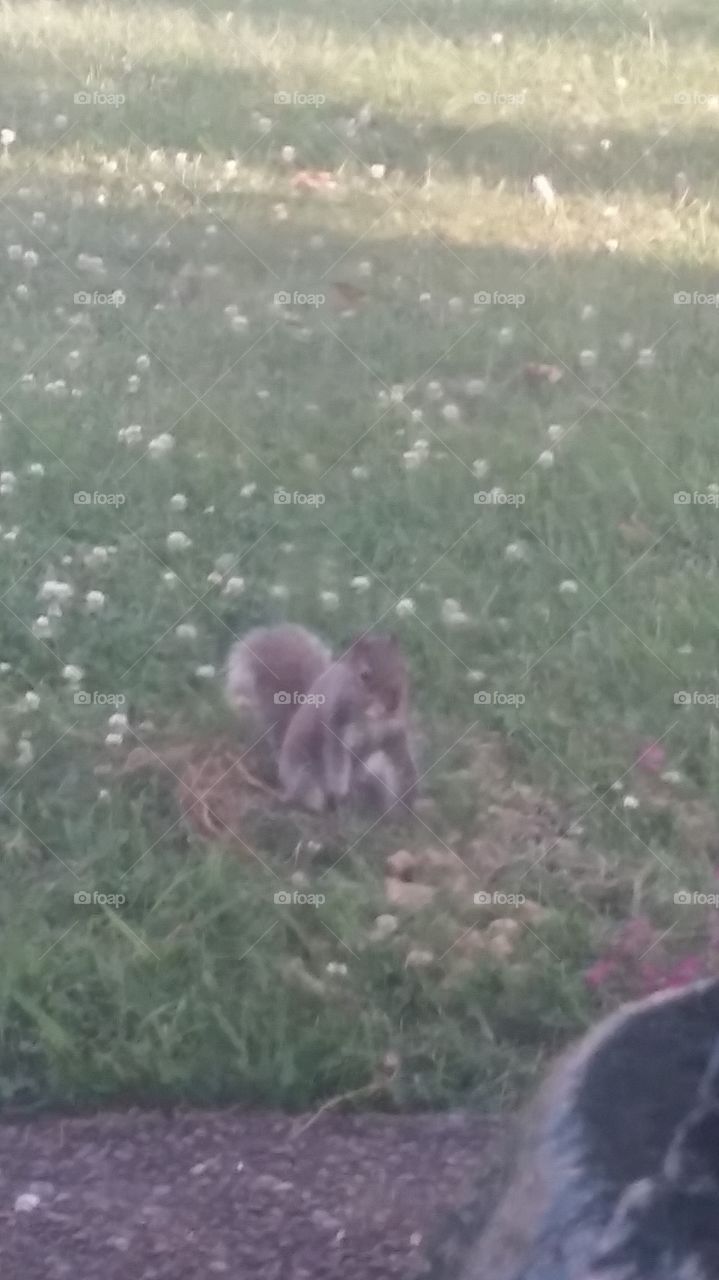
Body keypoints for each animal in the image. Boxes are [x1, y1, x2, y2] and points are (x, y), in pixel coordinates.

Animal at [225, 624, 418, 815]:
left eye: (403, 668)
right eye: (364, 675)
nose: (394, 703)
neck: (373, 718)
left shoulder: (386, 736)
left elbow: (387, 758)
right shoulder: (337, 727)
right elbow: (337, 763)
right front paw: (341, 791)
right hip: (305, 776)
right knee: (308, 797)